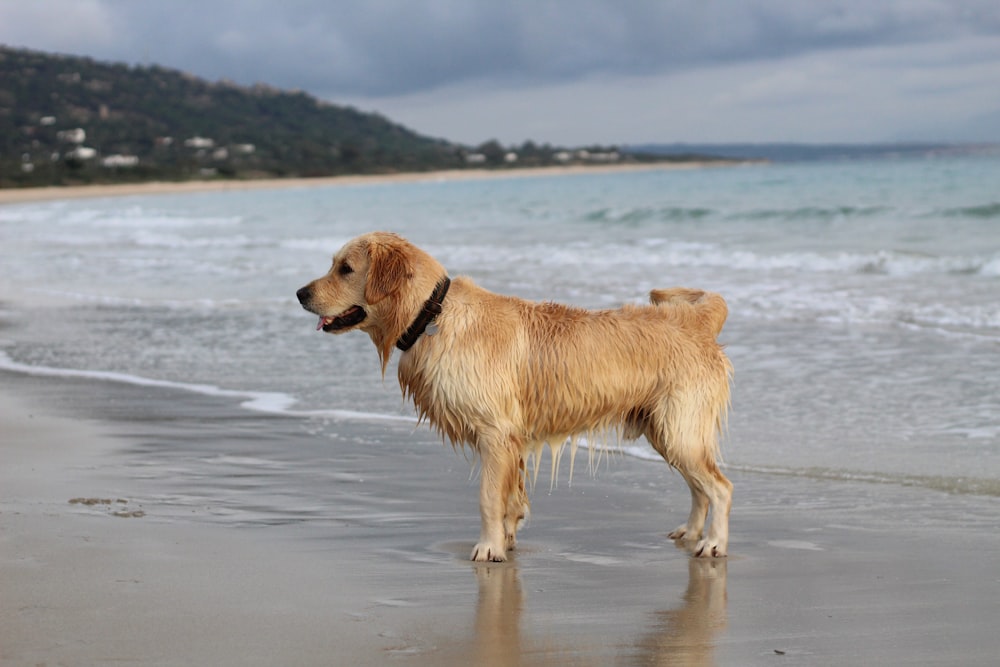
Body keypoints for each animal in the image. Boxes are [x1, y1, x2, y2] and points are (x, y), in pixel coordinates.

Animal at [296, 232, 736, 560]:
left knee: (720, 487)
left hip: (679, 429)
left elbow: (489, 498)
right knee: (699, 486)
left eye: (345, 269)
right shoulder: (512, 439)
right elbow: (511, 498)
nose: (300, 293)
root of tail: (697, 323)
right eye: (335, 265)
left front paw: (488, 548)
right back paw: (690, 533)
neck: (432, 315)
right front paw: (507, 539)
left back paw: (713, 543)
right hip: (666, 431)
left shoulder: (495, 433)